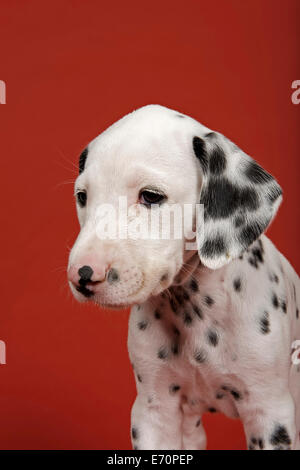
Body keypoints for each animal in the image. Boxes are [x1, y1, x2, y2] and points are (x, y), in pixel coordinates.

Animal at [68, 104, 300, 450]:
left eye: (151, 196)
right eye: (82, 196)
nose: (81, 275)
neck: (194, 308)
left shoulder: (270, 414)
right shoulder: (154, 411)